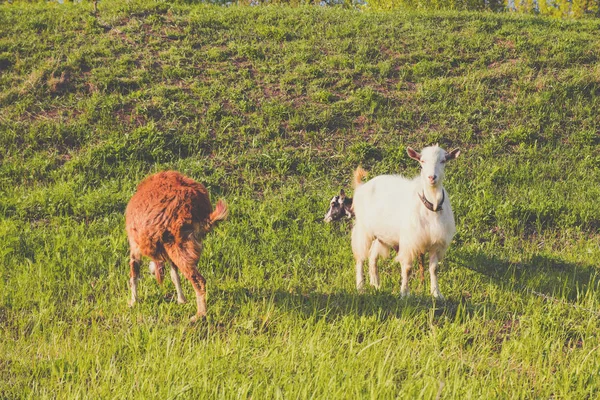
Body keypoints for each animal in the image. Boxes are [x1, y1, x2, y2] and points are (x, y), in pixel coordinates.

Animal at [125, 170, 229, 320]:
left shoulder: (135, 247)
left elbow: (134, 274)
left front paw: (133, 302)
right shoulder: (168, 251)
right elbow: (175, 275)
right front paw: (181, 300)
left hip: (179, 247)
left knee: (199, 281)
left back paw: (199, 315)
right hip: (181, 246)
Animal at [352, 145, 460, 298]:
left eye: (443, 160)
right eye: (422, 161)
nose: (431, 177)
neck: (431, 205)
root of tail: (362, 186)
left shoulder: (436, 243)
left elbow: (434, 269)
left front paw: (436, 294)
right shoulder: (410, 242)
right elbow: (407, 268)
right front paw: (404, 293)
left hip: (382, 235)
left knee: (372, 256)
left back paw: (376, 284)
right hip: (363, 228)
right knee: (360, 257)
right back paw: (361, 287)